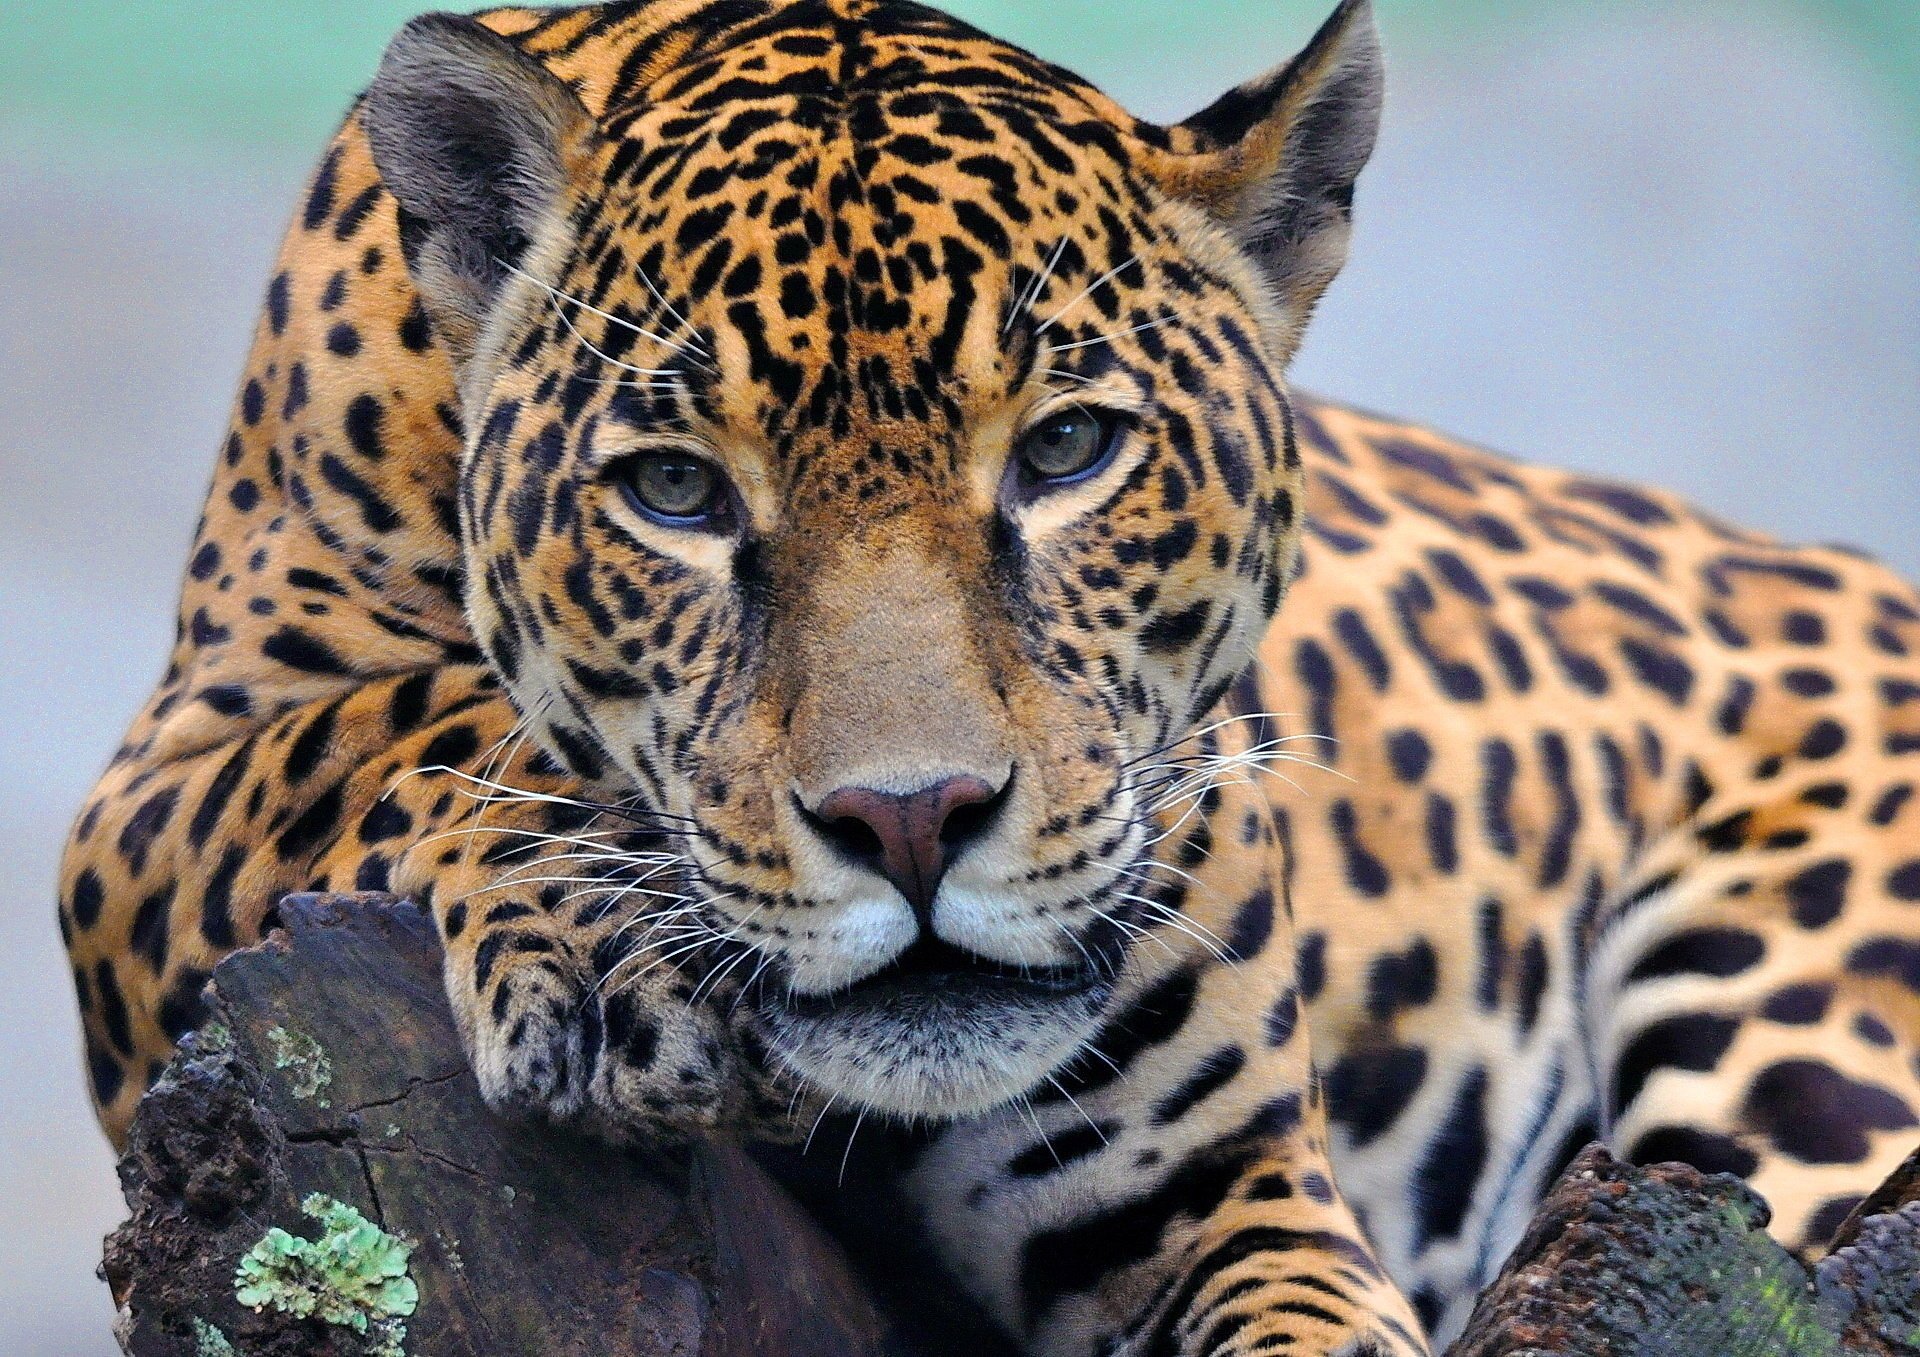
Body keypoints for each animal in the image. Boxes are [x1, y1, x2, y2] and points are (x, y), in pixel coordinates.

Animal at [58, 1, 1920, 1353]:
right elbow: (402, 724)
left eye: (1070, 452)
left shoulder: (1225, 1199)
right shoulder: (147, 801)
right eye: (675, 492)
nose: (914, 819)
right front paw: (605, 944)